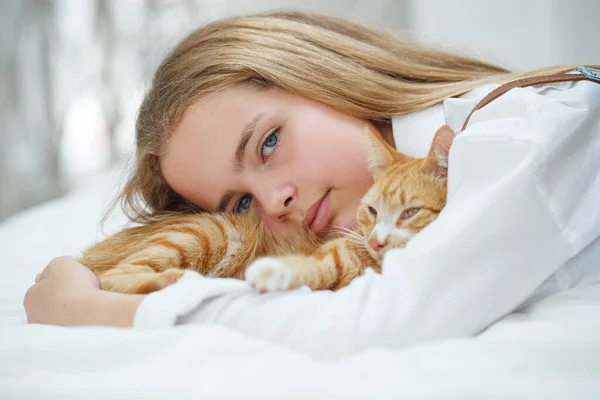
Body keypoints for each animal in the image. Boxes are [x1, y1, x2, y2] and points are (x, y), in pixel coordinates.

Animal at [79, 125, 454, 294]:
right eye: (373, 211)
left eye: (410, 212)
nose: (376, 241)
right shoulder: (332, 256)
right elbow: (310, 266)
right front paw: (272, 272)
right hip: (208, 231)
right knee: (110, 278)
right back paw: (176, 280)